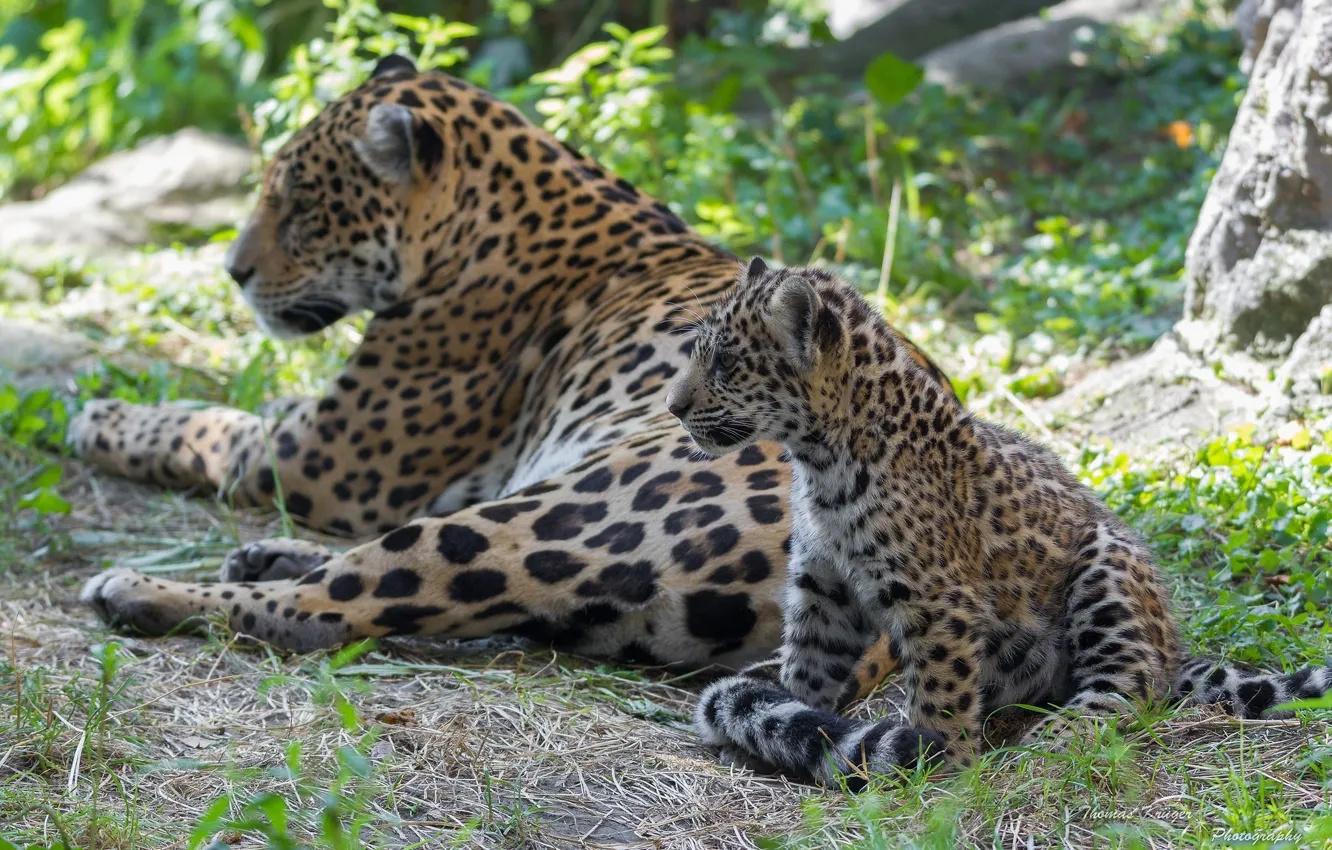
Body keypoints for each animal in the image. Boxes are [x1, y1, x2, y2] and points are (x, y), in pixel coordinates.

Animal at [65, 55, 957, 700]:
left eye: (305, 206)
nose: (234, 273)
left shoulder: (318, 458)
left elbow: (203, 423)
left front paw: (98, 415)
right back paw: (261, 556)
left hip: (566, 515)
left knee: (336, 605)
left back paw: (141, 590)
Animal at [668, 257, 1332, 789]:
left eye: (725, 361)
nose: (673, 407)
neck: (821, 459)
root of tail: (1174, 645)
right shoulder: (823, 583)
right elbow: (808, 664)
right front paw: (790, 728)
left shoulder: (937, 601)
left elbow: (940, 692)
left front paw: (940, 768)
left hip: (1106, 565)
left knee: (1132, 685)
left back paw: (1053, 740)